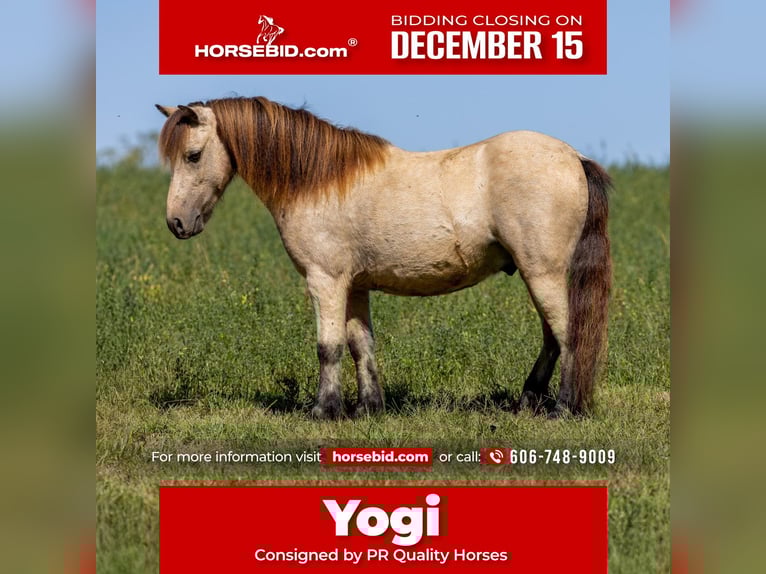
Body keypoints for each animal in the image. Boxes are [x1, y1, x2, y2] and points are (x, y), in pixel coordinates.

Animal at [155, 96, 611, 419]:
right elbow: (361, 345)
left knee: (568, 335)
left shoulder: (325, 280)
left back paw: (563, 408)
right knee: (552, 338)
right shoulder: (354, 285)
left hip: (543, 273)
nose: (176, 223)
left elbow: (329, 346)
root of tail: (574, 157)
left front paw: (323, 410)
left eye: (193, 155)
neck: (316, 181)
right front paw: (368, 407)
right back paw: (528, 401)